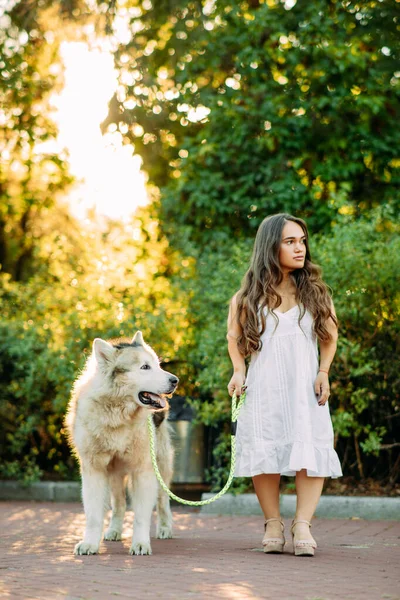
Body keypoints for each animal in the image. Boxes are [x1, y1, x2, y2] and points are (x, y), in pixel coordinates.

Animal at [65, 330, 177, 556]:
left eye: (158, 365)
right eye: (145, 367)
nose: (175, 380)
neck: (118, 415)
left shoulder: (143, 470)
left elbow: (141, 516)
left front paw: (140, 544)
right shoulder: (94, 470)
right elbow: (93, 515)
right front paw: (90, 543)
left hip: (161, 465)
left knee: (163, 501)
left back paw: (165, 528)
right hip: (115, 473)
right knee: (119, 504)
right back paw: (115, 531)